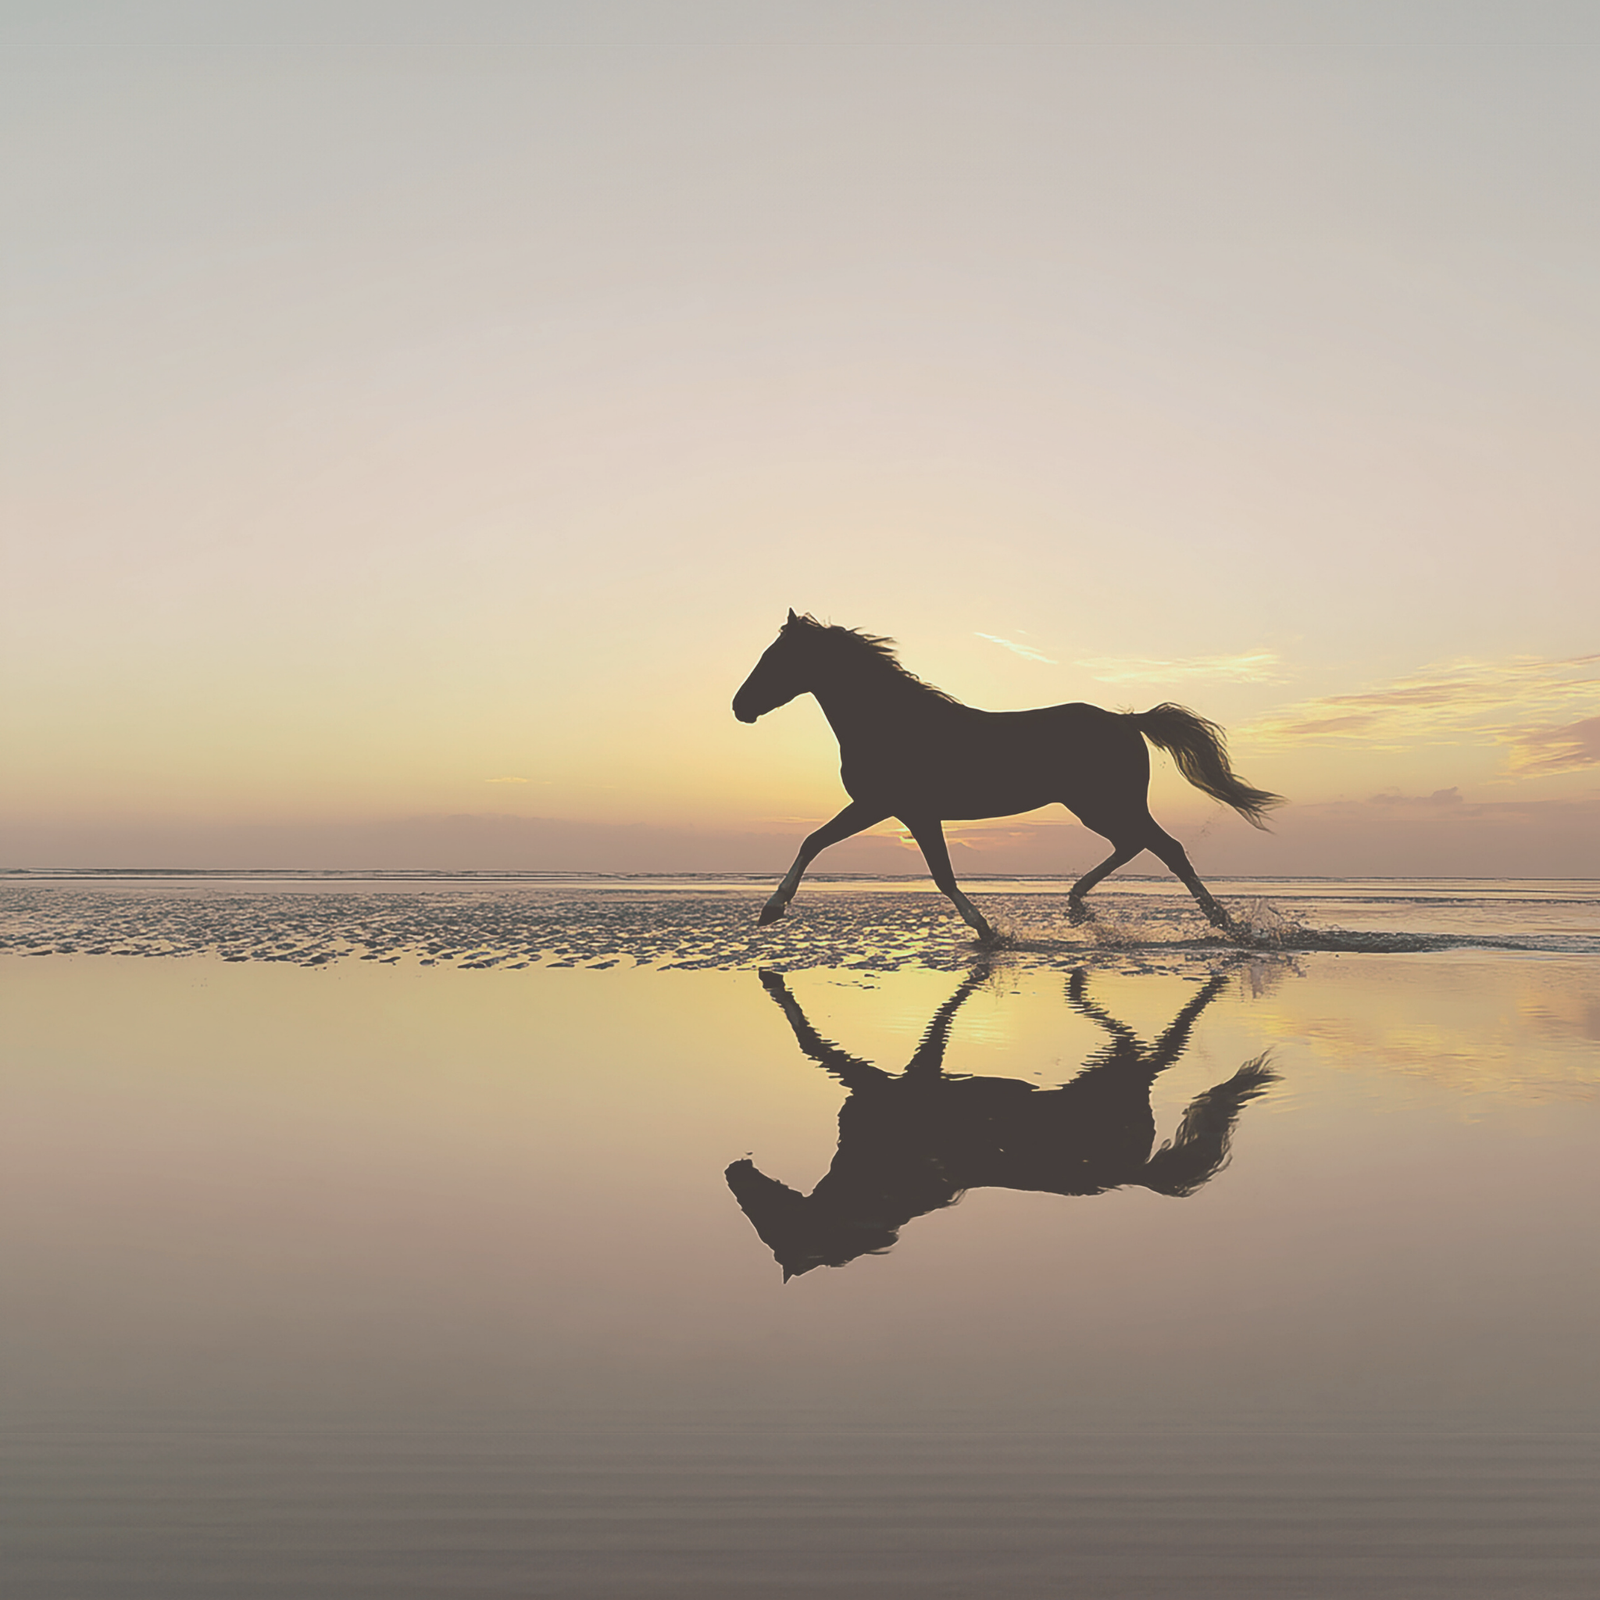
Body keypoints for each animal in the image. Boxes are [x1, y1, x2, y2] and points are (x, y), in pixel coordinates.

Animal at [726, 965, 1277, 1278]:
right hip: (1114, 1067)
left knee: (1167, 1045)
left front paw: (772, 981)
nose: (733, 1170)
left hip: (1126, 1073)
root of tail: (1131, 1173)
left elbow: (811, 1042)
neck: (883, 1176)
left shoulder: (888, 1081)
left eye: (767, 1227)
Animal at [732, 610, 1282, 940]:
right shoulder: (897, 810)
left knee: (1165, 848)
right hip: (1093, 806)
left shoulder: (893, 807)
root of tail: (1127, 721)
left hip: (1108, 802)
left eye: (775, 658)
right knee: (1133, 845)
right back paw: (1076, 903)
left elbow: (927, 871)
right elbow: (824, 842)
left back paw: (1226, 924)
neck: (893, 722)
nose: (739, 707)